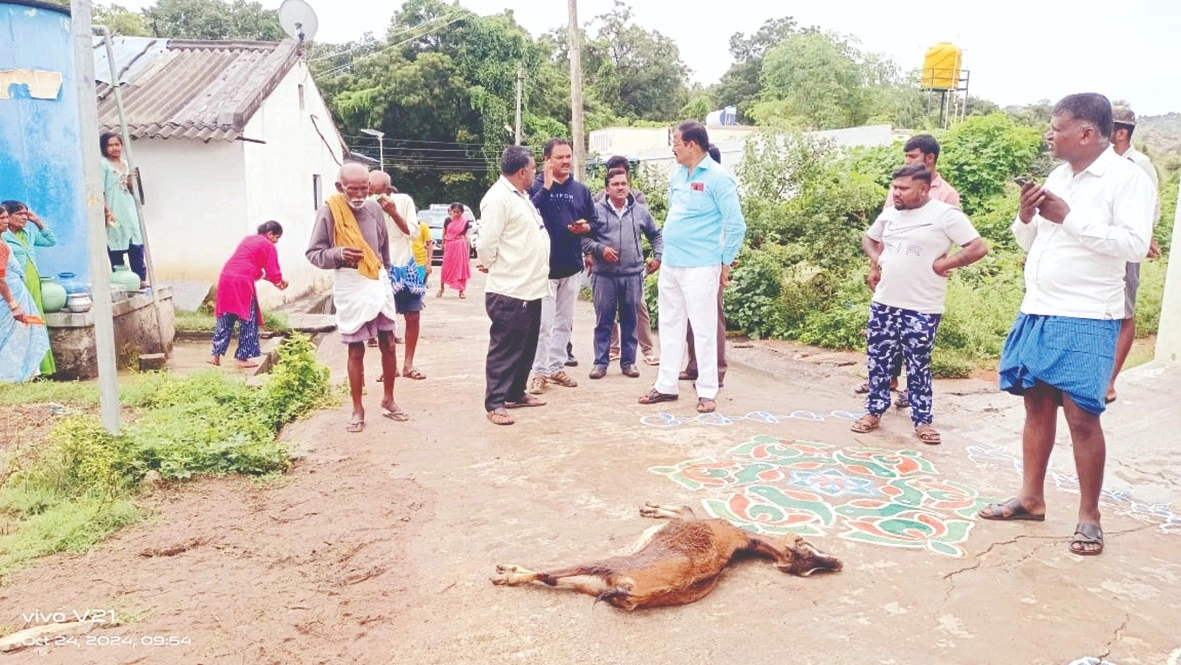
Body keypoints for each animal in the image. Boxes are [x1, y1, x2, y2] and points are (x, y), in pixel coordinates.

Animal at [488, 505, 840, 609]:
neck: (745, 541)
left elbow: (684, 507)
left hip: (607, 564)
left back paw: (505, 573)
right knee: (553, 579)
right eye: (809, 549)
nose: (837, 563)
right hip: (593, 584)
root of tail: (631, 591)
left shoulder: (695, 519)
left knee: (550, 574)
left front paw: (652, 509)